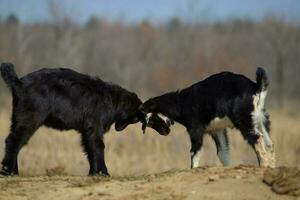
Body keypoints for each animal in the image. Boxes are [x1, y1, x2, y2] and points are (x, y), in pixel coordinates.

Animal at [0, 62, 143, 175]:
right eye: (135, 118)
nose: (119, 129)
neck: (112, 98)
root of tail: (18, 83)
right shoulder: (94, 124)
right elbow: (98, 144)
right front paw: (103, 172)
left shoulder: (86, 130)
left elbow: (89, 147)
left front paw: (93, 172)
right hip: (30, 116)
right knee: (14, 140)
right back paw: (8, 170)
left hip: (17, 117)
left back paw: (14, 171)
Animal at [142, 67, 276, 169]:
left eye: (151, 120)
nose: (165, 132)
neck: (182, 103)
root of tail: (255, 87)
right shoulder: (217, 130)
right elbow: (223, 153)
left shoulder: (195, 130)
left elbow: (194, 152)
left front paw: (193, 169)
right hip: (261, 118)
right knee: (269, 142)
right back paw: (271, 166)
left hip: (244, 120)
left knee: (257, 138)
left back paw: (263, 165)